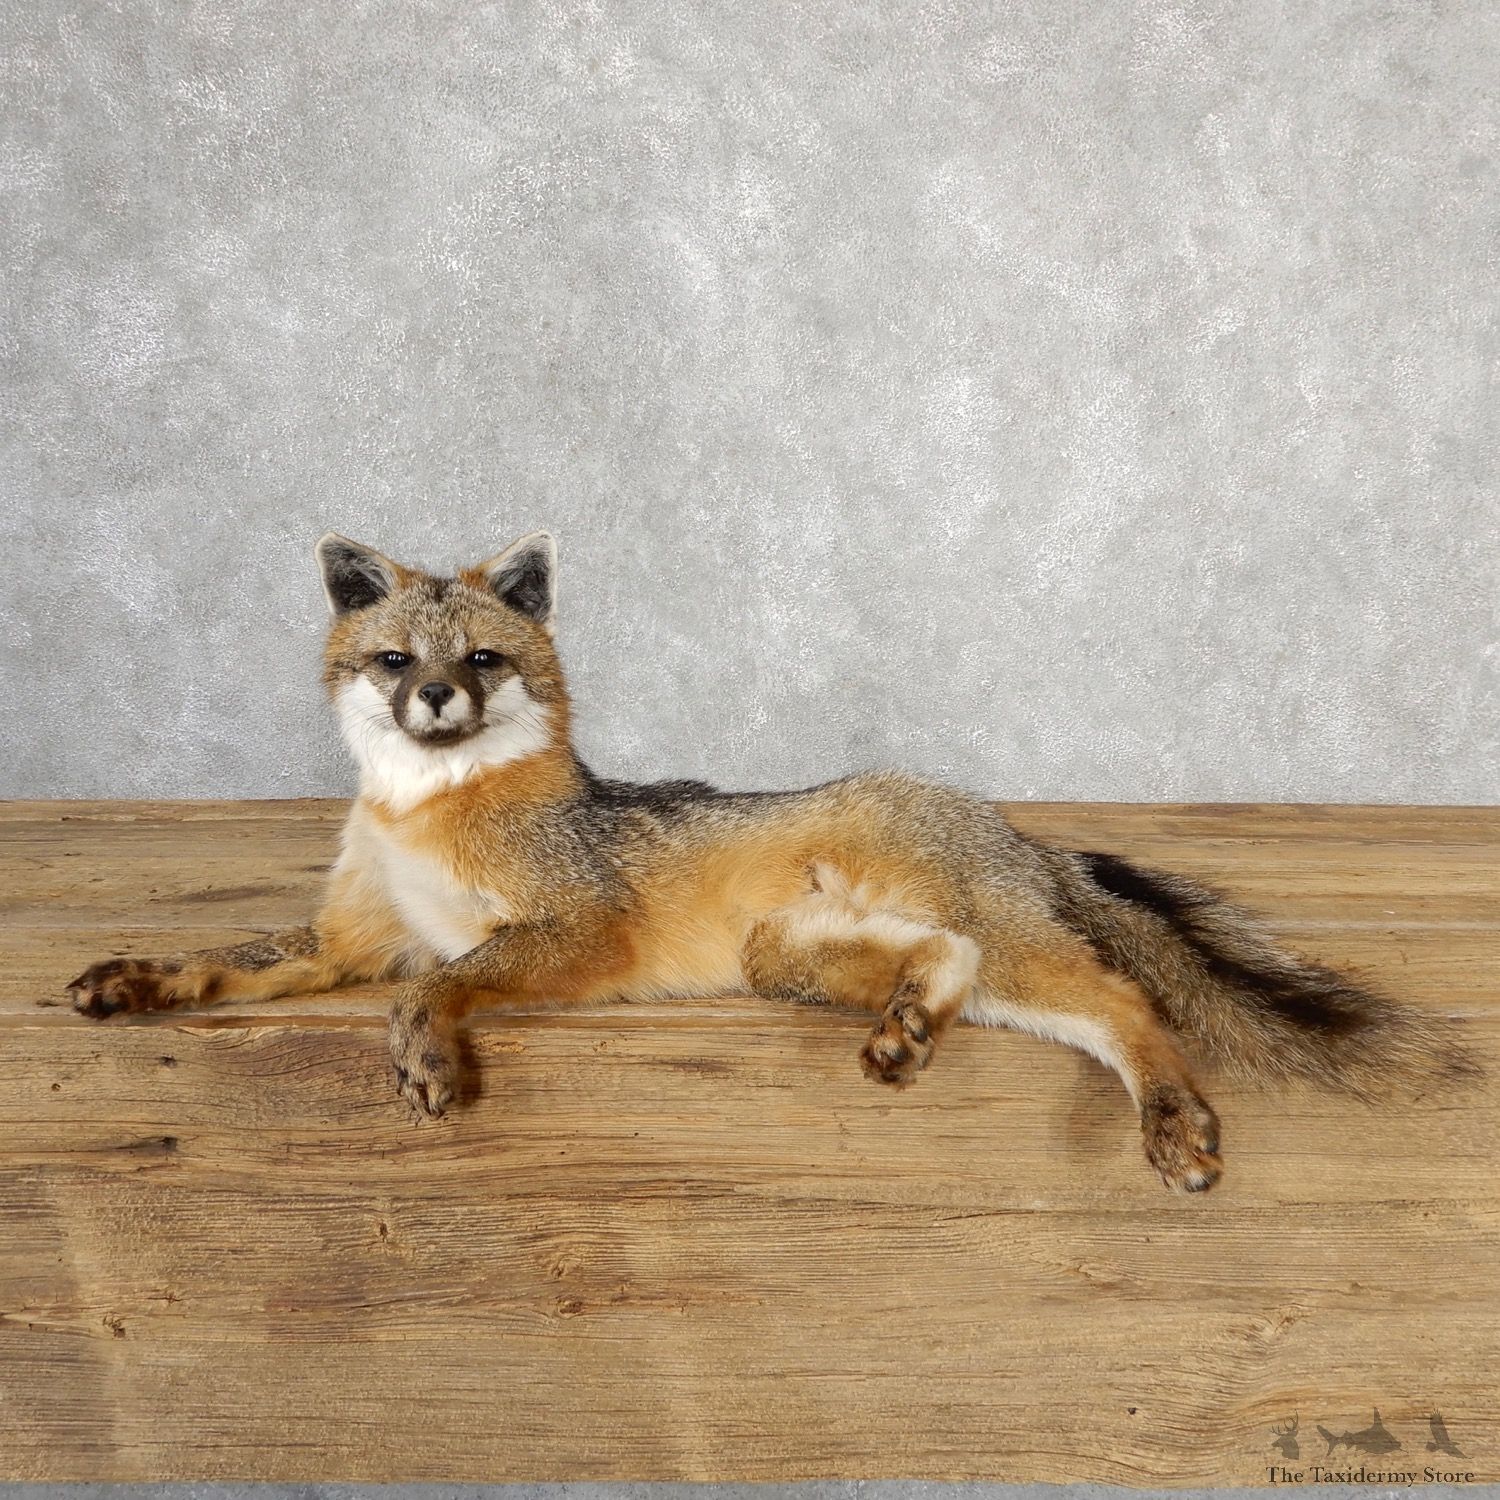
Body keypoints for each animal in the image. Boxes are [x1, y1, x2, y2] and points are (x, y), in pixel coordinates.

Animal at [66, 531, 1476, 1191]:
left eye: (483, 659)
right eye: (395, 660)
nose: (436, 706)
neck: (426, 811)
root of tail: (996, 815)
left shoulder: (568, 928)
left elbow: (437, 984)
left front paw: (424, 1047)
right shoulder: (347, 940)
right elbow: (232, 959)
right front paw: (140, 978)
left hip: (967, 955)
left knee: (1130, 1004)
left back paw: (1174, 1116)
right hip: (786, 957)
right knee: (954, 963)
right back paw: (910, 1024)